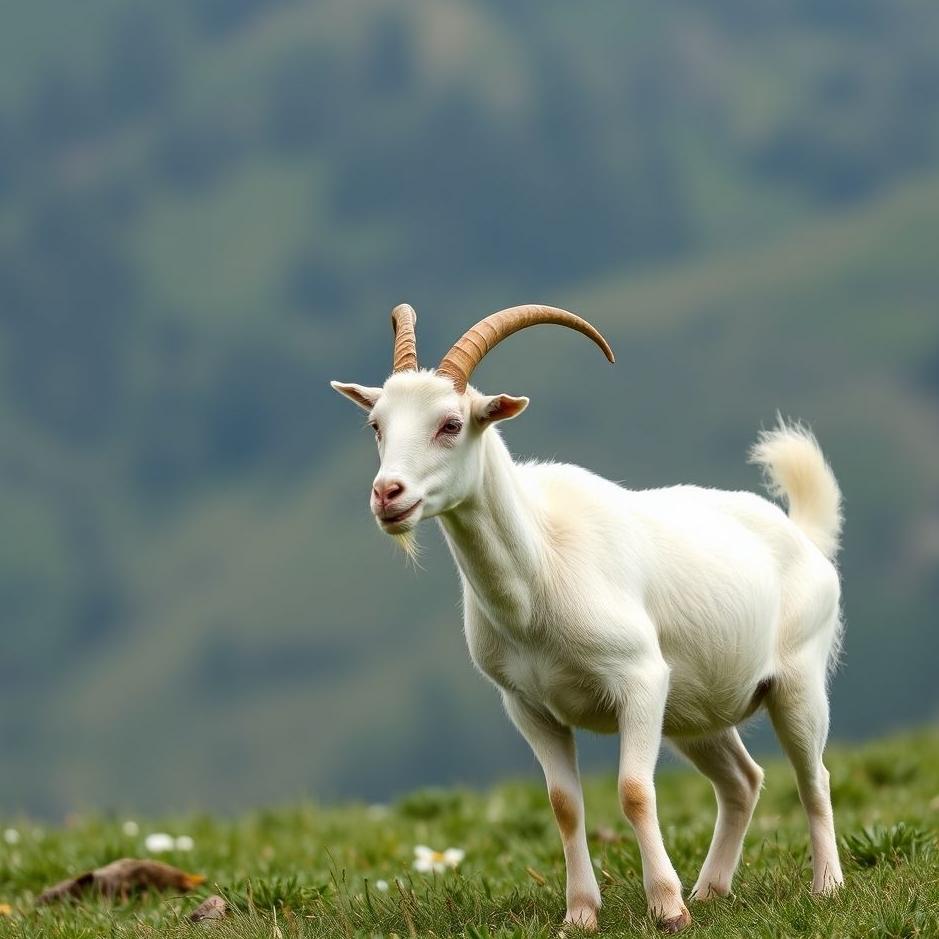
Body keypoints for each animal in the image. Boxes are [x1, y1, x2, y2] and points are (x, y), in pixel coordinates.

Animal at [331, 304, 844, 933]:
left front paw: (667, 909)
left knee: (813, 777)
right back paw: (711, 891)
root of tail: (805, 536)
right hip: (694, 711)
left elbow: (634, 792)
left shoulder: (640, 680)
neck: (539, 571)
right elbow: (564, 805)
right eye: (377, 424)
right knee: (743, 782)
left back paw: (824, 887)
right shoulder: (528, 705)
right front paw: (580, 914)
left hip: (797, 681)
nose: (388, 495)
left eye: (451, 424)